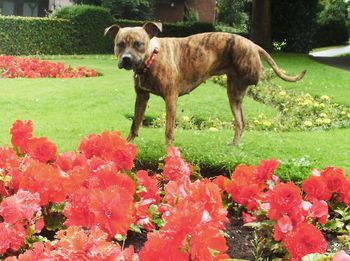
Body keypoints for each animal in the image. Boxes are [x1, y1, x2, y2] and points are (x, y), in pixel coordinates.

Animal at [104, 22, 306, 144]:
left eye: (138, 44)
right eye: (120, 44)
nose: (126, 59)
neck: (151, 59)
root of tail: (253, 45)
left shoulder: (171, 98)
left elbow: (168, 129)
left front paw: (168, 150)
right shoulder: (141, 97)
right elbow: (135, 123)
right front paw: (127, 144)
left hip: (242, 85)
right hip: (234, 94)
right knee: (241, 122)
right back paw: (234, 145)